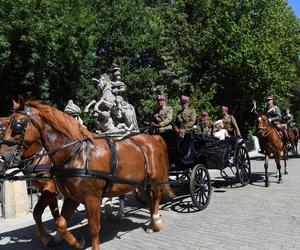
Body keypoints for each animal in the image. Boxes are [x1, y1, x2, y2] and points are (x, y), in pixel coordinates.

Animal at [0, 117, 61, 246]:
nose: (2, 158)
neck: (39, 156)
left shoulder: (50, 186)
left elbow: (37, 212)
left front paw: (46, 237)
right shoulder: (48, 190)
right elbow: (55, 212)